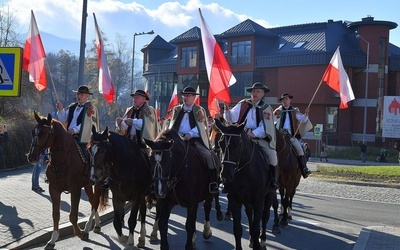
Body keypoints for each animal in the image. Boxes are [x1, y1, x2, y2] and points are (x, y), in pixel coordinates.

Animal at [26, 112, 108, 250]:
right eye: (33, 132)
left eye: (44, 133)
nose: (31, 157)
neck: (63, 159)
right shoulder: (53, 189)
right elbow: (56, 215)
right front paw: (53, 239)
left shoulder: (75, 190)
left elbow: (73, 216)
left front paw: (81, 233)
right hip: (87, 185)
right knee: (93, 202)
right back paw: (96, 225)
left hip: (97, 183)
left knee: (95, 203)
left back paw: (91, 227)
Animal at [216, 118, 272, 249]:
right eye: (220, 143)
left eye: (237, 144)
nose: (225, 175)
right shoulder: (234, 199)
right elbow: (237, 229)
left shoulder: (259, 200)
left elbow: (257, 227)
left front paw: (257, 243)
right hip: (246, 200)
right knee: (249, 212)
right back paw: (251, 239)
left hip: (270, 194)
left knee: (265, 216)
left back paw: (263, 239)